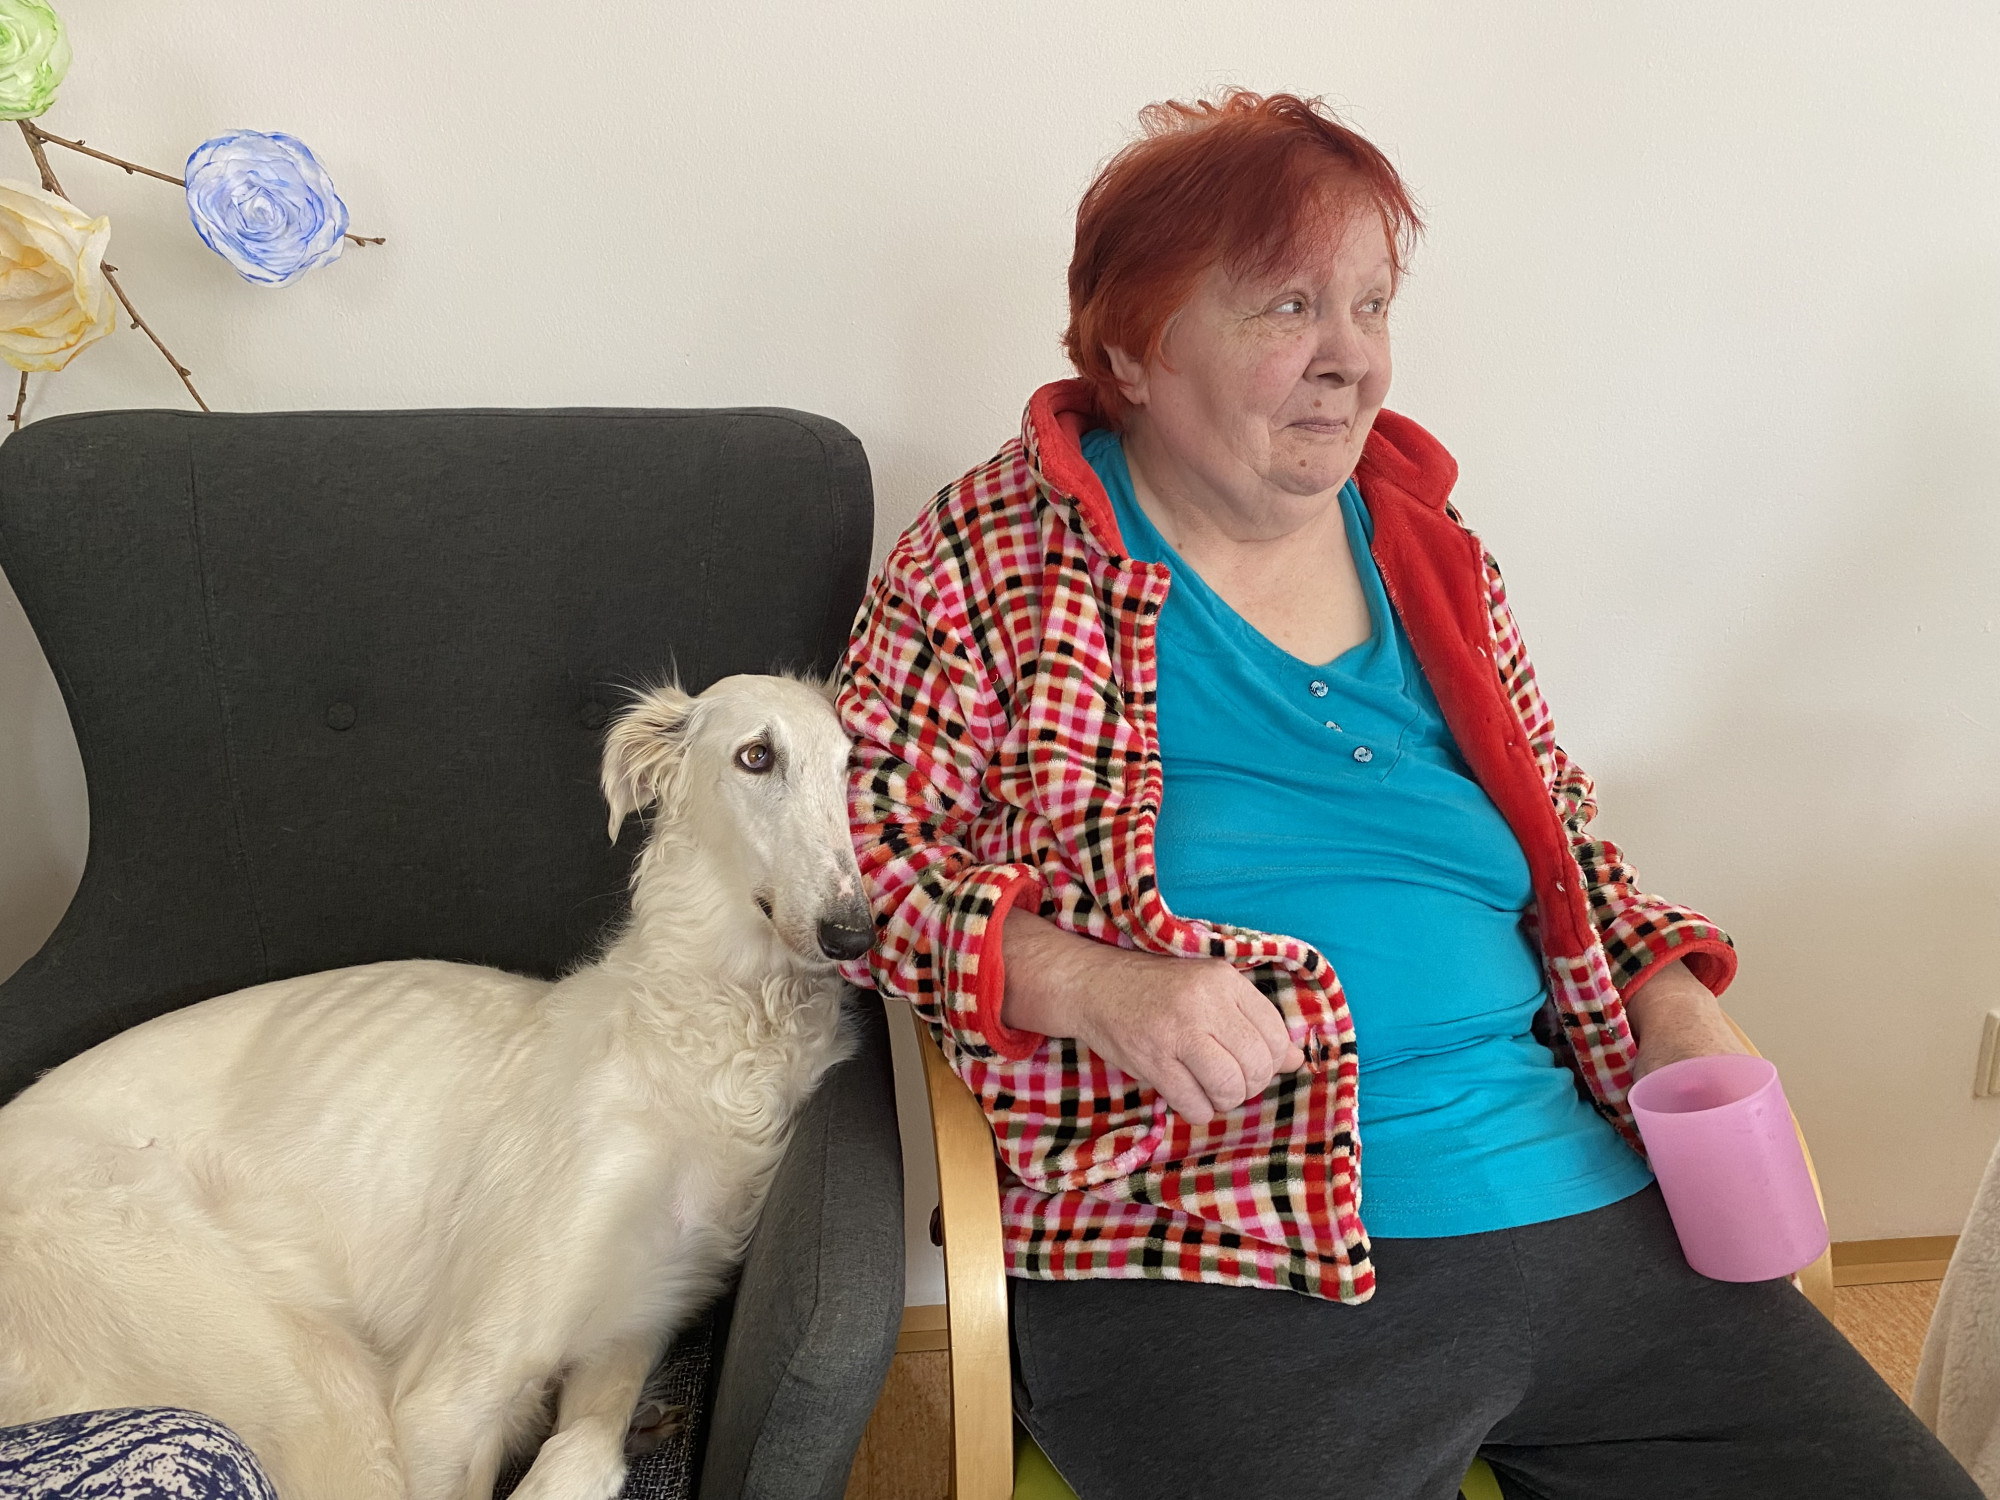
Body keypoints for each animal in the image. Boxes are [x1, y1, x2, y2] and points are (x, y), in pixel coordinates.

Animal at [0, 674, 870, 1500]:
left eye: (849, 766)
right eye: (755, 756)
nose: (855, 933)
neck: (704, 1048)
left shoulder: (641, 1312)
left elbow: (583, 1453)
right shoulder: (446, 1393)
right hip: (294, 1365)